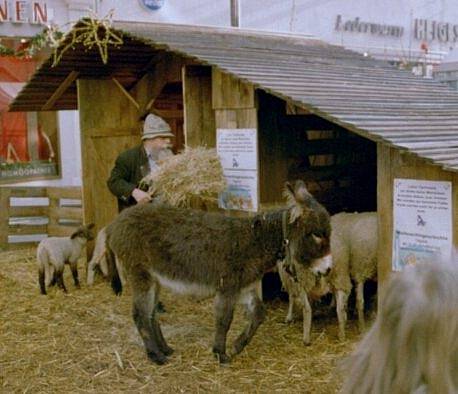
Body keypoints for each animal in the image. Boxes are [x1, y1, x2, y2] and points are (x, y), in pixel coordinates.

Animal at [105, 180, 330, 364]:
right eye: (317, 235)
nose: (327, 269)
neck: (256, 241)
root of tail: (115, 223)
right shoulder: (228, 287)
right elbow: (224, 320)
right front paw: (220, 354)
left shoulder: (244, 287)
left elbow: (259, 314)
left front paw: (237, 346)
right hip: (140, 274)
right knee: (140, 315)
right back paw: (156, 356)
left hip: (155, 278)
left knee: (151, 314)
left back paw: (165, 349)